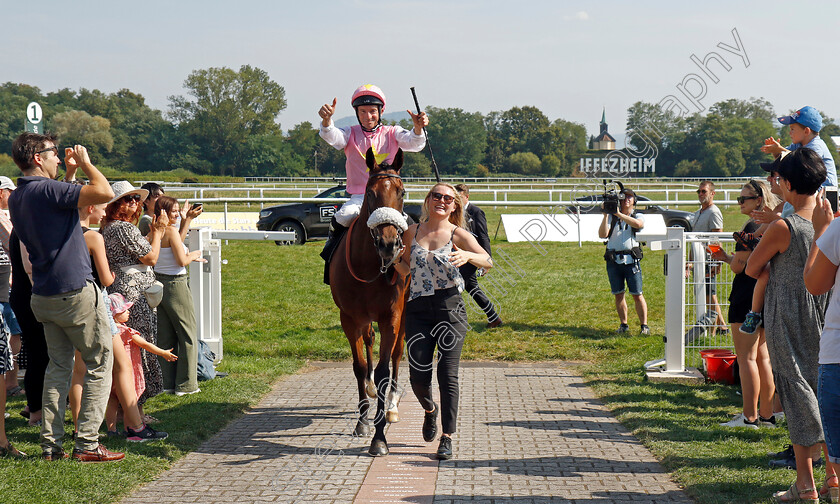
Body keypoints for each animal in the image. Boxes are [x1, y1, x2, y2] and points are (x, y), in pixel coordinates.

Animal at [328, 147, 406, 456]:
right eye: (370, 194)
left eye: (402, 192)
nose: (389, 245)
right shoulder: (349, 318)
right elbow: (360, 366)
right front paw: (362, 421)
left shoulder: (391, 317)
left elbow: (385, 368)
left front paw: (380, 436)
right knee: (369, 341)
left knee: (397, 354)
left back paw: (393, 405)